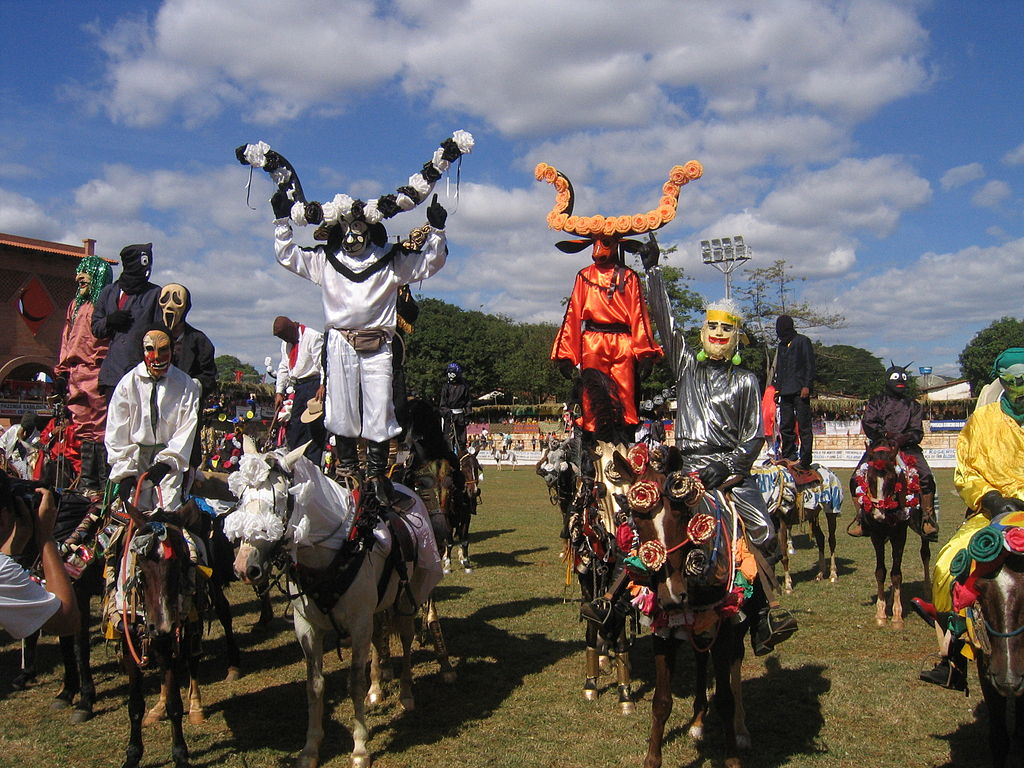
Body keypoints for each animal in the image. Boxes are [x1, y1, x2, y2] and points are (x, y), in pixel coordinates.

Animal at [224, 438, 440, 768]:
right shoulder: (307, 628)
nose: (243, 567)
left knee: (405, 639)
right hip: (378, 608)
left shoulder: (359, 624)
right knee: (380, 640)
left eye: (280, 501)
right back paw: (377, 690)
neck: (332, 550)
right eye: (241, 498)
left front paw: (360, 747)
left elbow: (353, 682)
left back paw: (405, 694)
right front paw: (310, 748)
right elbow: (315, 685)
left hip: (406, 598)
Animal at [749, 462, 843, 593]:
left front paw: (788, 585)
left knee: (831, 540)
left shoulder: (781, 524)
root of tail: (830, 472)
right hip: (813, 515)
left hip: (831, 512)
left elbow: (783, 555)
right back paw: (820, 574)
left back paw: (833, 574)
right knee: (820, 539)